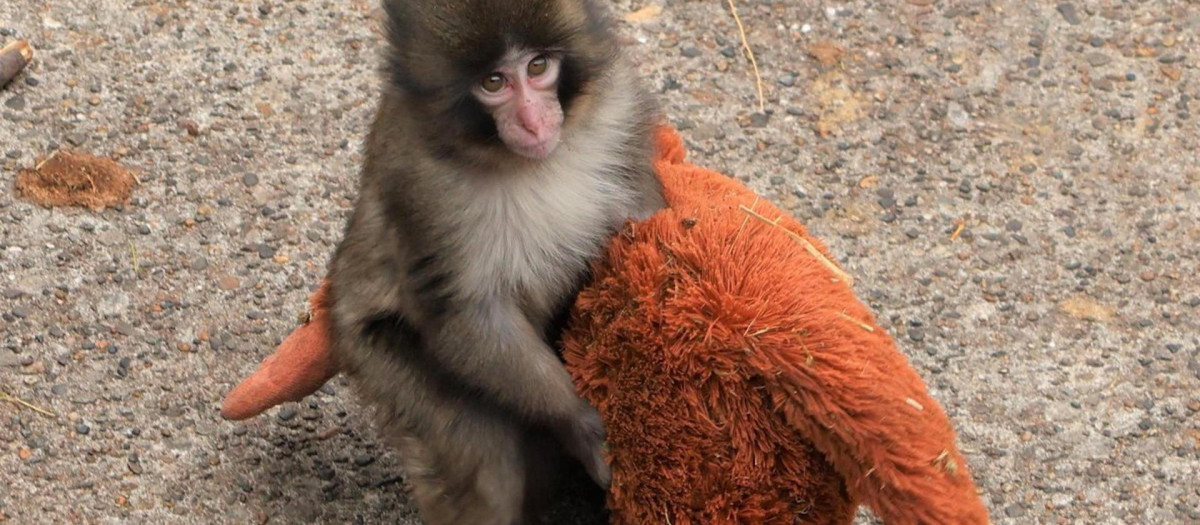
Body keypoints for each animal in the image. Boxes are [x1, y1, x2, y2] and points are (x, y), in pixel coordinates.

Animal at [326, 0, 665, 523]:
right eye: (493, 82)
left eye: (538, 67)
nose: (533, 122)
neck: (527, 163)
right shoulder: (421, 185)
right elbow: (466, 314)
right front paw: (578, 422)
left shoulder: (617, 112)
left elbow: (644, 214)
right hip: (376, 354)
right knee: (489, 467)